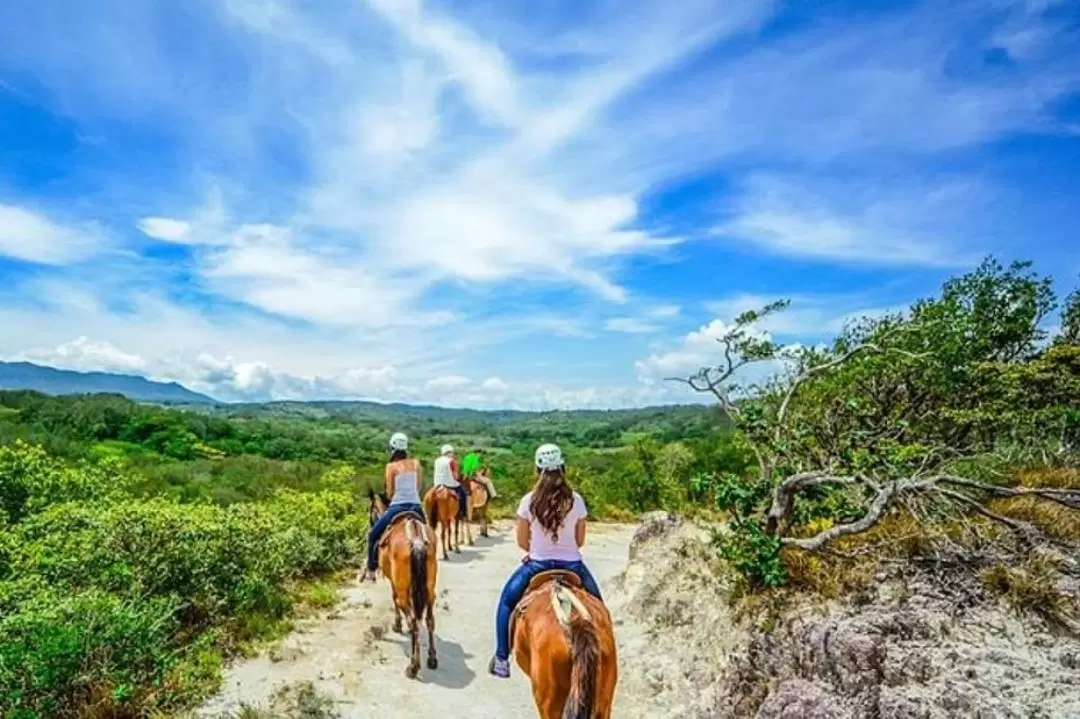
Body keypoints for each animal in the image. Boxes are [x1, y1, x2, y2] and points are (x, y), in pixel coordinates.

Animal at [367, 483, 438, 673]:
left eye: (370, 509)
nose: (371, 522)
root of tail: (417, 541)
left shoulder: (394, 582)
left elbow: (393, 598)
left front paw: (397, 624)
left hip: (403, 591)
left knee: (412, 619)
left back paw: (413, 665)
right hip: (430, 591)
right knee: (429, 619)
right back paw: (432, 658)